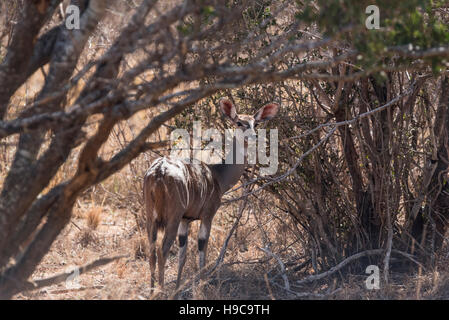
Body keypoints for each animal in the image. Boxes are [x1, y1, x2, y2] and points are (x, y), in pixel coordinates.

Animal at [144, 98, 278, 292]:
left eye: (256, 123)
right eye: (239, 123)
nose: (253, 136)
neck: (218, 176)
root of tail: (158, 172)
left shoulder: (186, 220)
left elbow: (183, 254)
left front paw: (177, 288)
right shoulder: (208, 214)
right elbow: (202, 249)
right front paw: (201, 286)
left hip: (151, 217)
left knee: (152, 252)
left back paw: (153, 290)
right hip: (172, 216)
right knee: (163, 250)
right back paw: (160, 291)